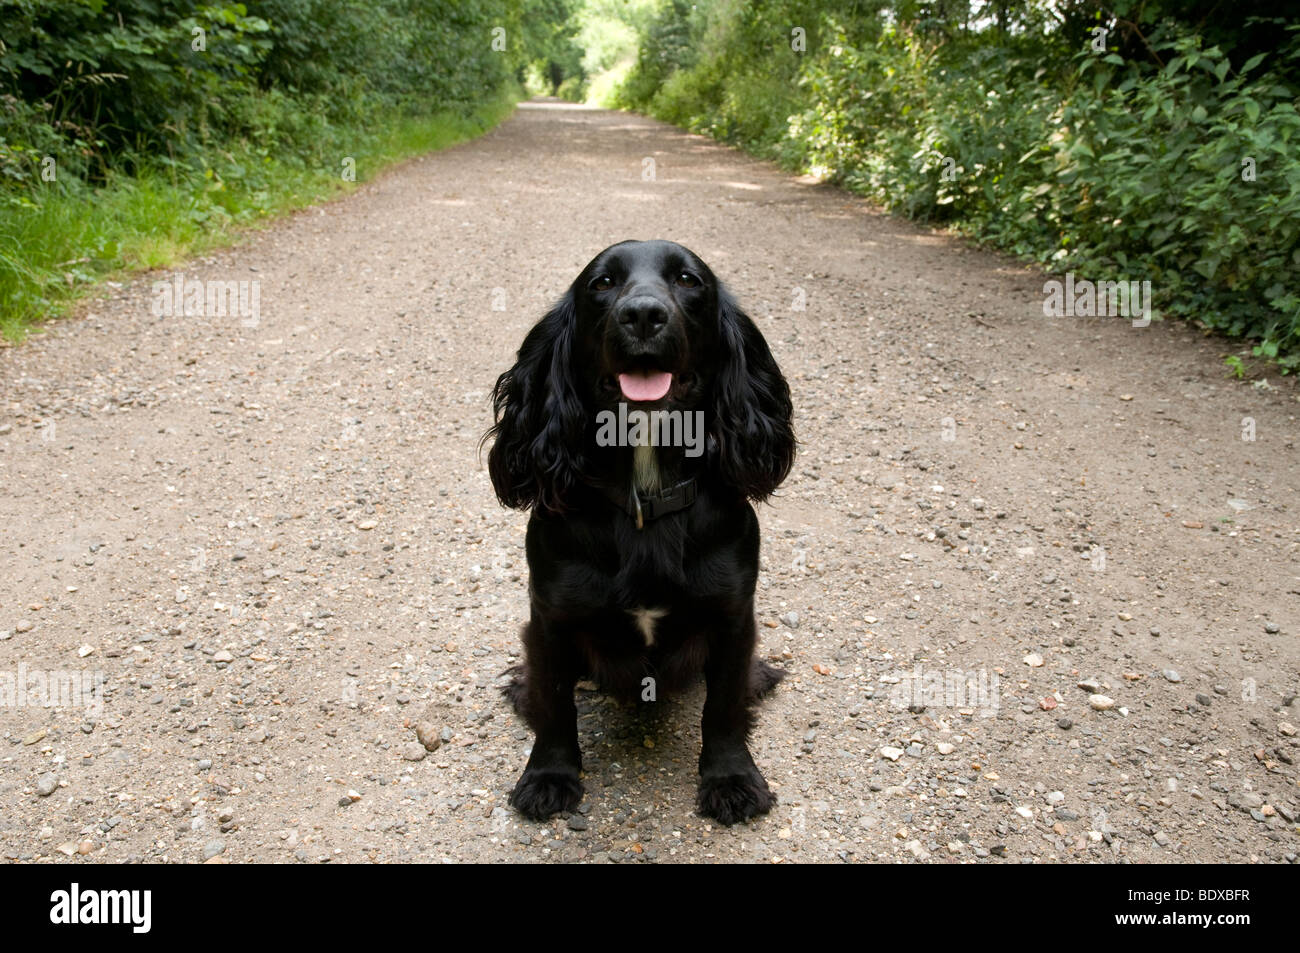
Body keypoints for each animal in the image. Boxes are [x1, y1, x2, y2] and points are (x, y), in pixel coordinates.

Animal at [486, 239, 790, 826]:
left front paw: (731, 779)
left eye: (689, 280)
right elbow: (554, 704)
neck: (646, 488)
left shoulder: (733, 614)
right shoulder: (550, 617)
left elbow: (723, 707)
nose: (644, 315)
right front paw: (549, 776)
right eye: (602, 284)